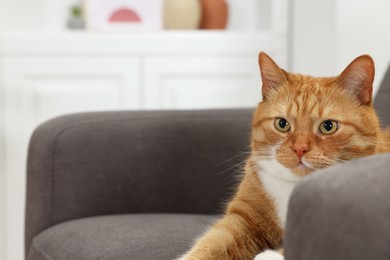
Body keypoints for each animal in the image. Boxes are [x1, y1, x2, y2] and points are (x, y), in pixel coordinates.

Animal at [180, 52, 390, 260]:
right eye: (282, 124)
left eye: (328, 126)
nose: (299, 149)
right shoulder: (242, 218)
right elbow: (213, 243)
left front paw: (269, 255)